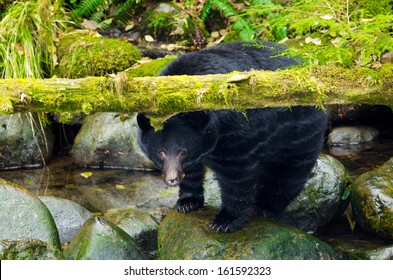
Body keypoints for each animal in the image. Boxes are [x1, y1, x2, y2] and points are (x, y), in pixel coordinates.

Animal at [136, 41, 326, 233]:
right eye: (160, 152)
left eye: (183, 151)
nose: (172, 179)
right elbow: (193, 170)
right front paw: (188, 201)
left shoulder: (236, 133)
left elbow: (236, 175)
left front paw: (226, 220)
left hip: (297, 131)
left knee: (288, 171)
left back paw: (265, 207)